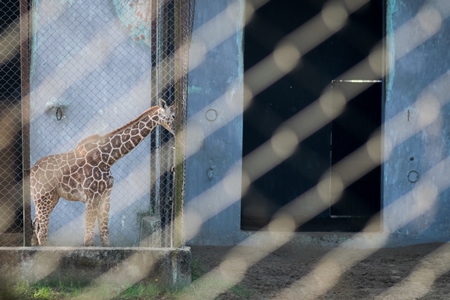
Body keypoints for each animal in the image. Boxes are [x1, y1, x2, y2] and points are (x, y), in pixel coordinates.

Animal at [30, 100, 175, 246]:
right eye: (173, 116)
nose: (176, 130)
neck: (108, 159)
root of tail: (31, 172)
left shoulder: (106, 196)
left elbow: (105, 236)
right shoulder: (92, 197)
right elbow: (88, 238)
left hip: (49, 199)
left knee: (35, 226)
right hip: (44, 198)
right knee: (42, 232)